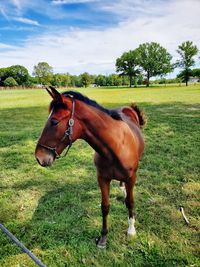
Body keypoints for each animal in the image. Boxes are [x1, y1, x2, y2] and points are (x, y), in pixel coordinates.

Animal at [34, 87, 145, 250]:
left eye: (54, 122)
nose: (39, 157)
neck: (117, 146)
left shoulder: (131, 178)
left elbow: (130, 202)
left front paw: (131, 230)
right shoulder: (102, 179)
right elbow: (105, 207)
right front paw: (103, 238)